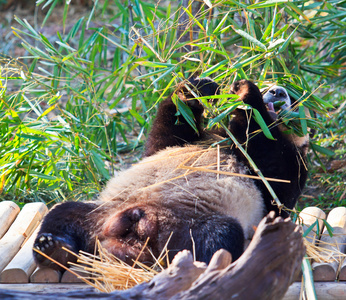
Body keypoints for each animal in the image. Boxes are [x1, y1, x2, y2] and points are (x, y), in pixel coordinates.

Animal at [32, 78, 308, 270]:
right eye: (269, 85)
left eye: (295, 98)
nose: (278, 92)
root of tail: (137, 229)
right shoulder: (185, 140)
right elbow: (168, 131)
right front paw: (198, 88)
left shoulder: (290, 165)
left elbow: (275, 181)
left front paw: (246, 95)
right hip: (102, 212)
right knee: (64, 213)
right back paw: (54, 248)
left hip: (187, 229)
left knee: (217, 237)